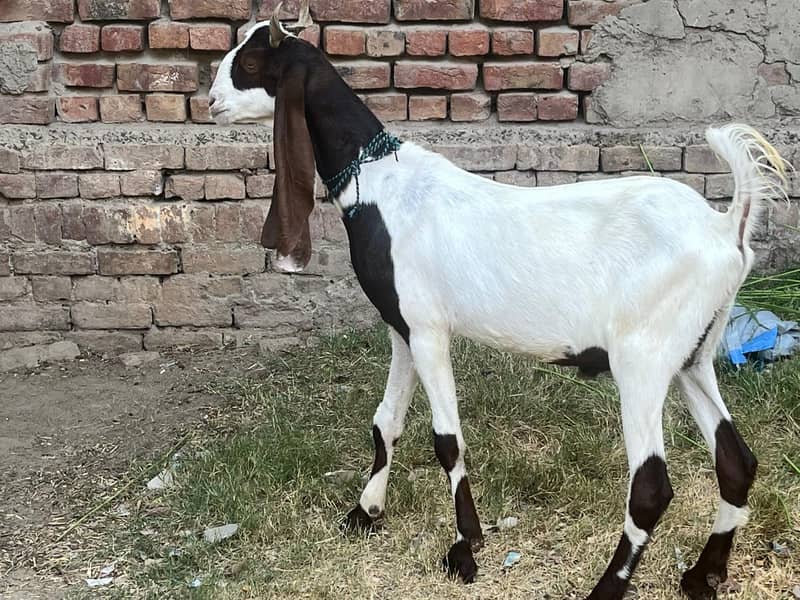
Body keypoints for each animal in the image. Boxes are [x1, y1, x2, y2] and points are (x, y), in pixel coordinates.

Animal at [209, 4, 789, 599]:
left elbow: (446, 439)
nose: (211, 102)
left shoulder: (429, 330)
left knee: (651, 486)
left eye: (251, 63)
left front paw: (465, 548)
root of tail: (727, 227)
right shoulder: (401, 328)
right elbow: (385, 421)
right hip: (693, 355)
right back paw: (704, 574)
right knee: (736, 461)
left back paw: (608, 586)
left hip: (643, 359)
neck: (383, 186)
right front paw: (365, 513)